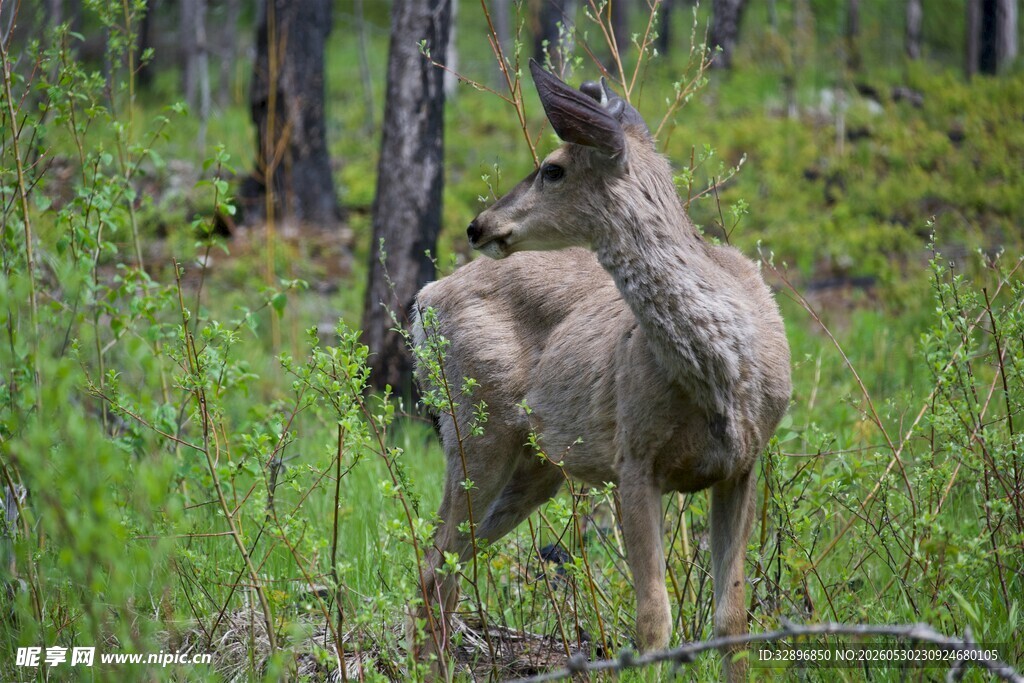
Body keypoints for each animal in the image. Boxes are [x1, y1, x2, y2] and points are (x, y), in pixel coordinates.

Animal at [410, 61, 792, 681]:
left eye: (552, 168)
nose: (477, 225)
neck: (721, 370)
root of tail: (424, 298)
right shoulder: (633, 459)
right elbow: (654, 621)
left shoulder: (743, 464)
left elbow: (732, 620)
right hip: (474, 429)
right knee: (434, 561)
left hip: (535, 465)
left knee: (445, 561)